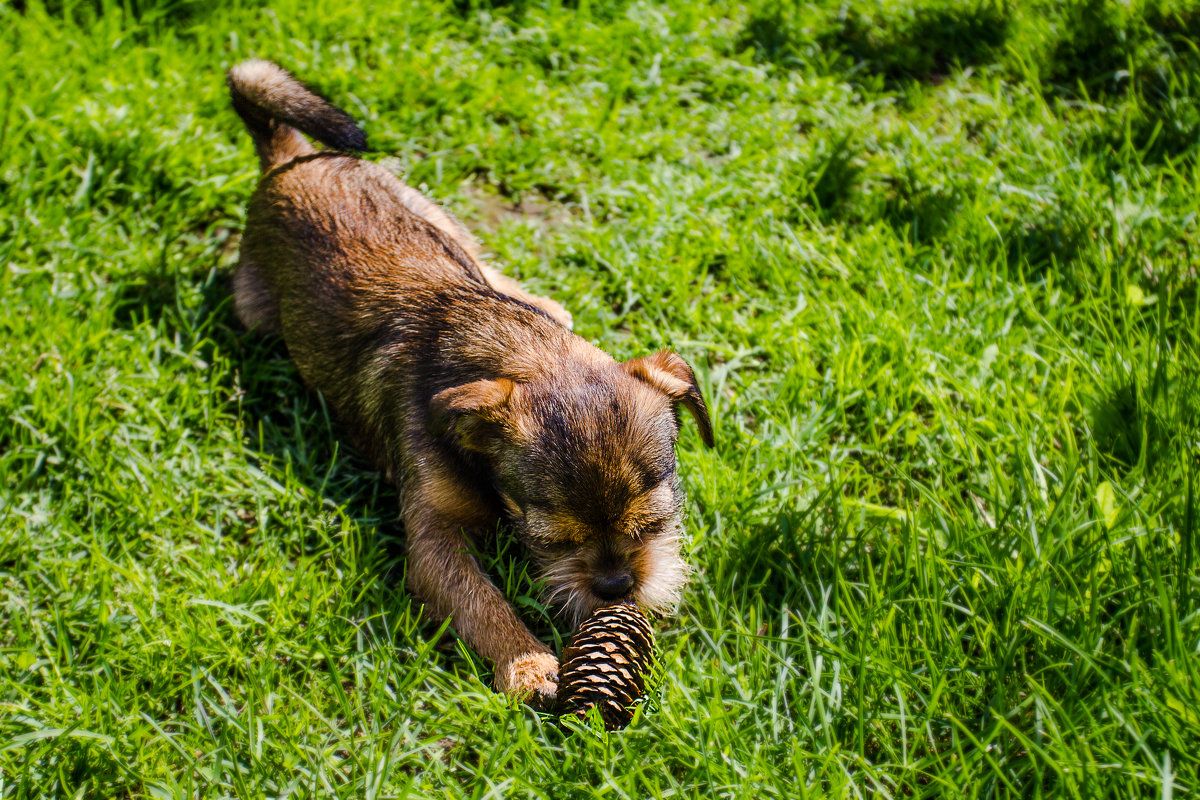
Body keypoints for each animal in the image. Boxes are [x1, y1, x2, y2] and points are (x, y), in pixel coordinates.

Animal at [225, 59, 710, 705]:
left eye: (653, 525)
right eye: (555, 540)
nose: (615, 588)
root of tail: (288, 159)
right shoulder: (434, 541)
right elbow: (481, 601)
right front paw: (528, 663)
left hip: (431, 212)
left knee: (483, 263)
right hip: (254, 314)